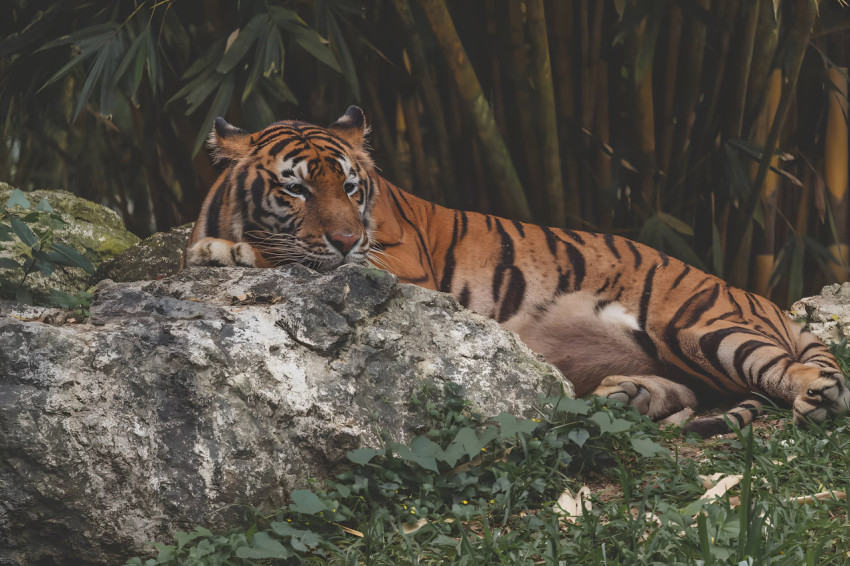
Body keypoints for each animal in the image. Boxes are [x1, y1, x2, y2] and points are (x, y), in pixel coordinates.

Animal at [185, 105, 850, 437]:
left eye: (350, 187)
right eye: (295, 188)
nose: (347, 239)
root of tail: (755, 296)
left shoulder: (399, 264)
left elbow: (293, 254)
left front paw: (222, 252)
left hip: (698, 325)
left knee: (786, 373)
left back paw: (817, 395)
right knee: (699, 390)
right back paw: (627, 396)